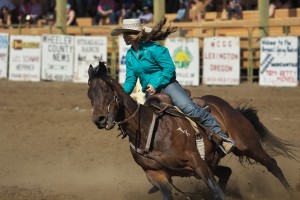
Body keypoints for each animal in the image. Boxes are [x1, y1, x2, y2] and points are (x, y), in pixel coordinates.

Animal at [86, 61, 298, 199]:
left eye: (107, 90)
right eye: (89, 94)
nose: (99, 119)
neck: (148, 130)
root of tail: (230, 108)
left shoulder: (197, 161)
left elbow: (217, 192)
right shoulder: (156, 175)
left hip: (248, 146)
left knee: (272, 165)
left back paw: (290, 192)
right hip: (214, 161)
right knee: (227, 172)